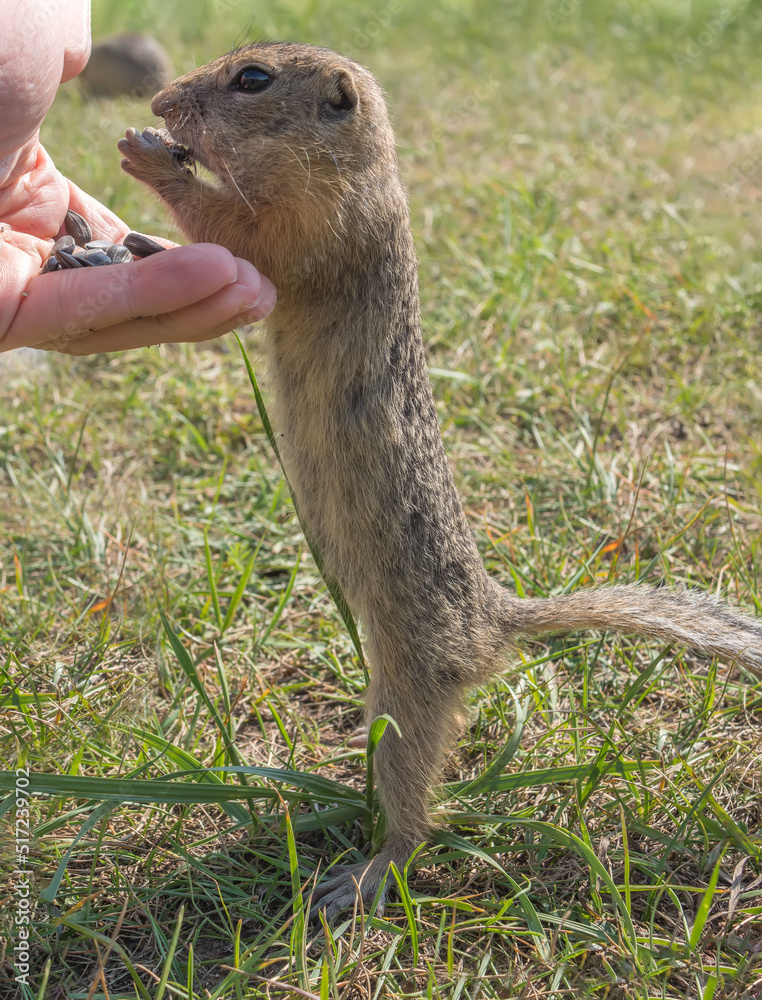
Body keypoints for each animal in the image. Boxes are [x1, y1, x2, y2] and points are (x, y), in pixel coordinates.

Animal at [117, 45, 760, 920]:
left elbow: (239, 236)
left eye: (252, 80)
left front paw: (149, 157)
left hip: (408, 696)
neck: (358, 170)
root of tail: (492, 622)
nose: (159, 102)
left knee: (417, 816)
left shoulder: (316, 228)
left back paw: (362, 877)